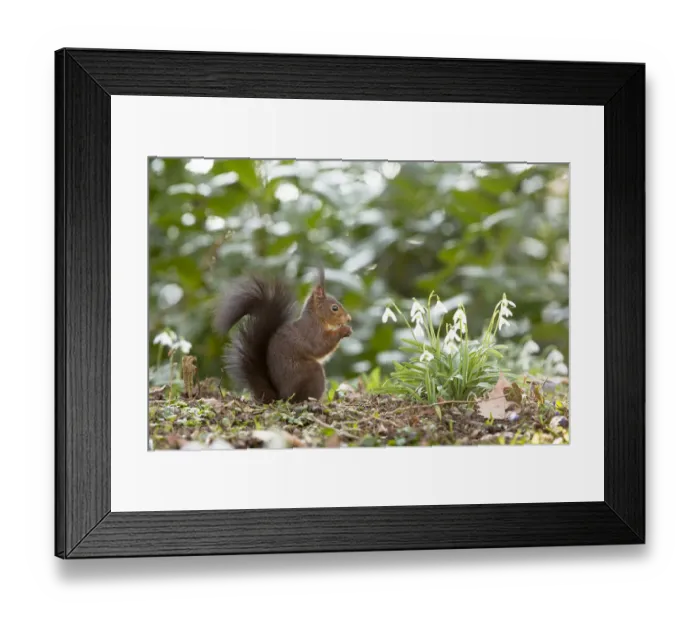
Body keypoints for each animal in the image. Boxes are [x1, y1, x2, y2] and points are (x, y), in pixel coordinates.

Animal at [213, 266, 352, 403]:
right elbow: (320, 346)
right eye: (334, 308)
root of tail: (280, 397)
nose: (349, 318)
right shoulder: (311, 333)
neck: (316, 319)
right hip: (313, 374)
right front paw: (344, 330)